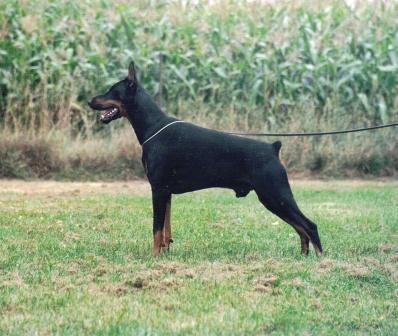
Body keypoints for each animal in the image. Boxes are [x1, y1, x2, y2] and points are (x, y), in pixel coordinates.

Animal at [88, 63, 322, 256]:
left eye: (112, 90)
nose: (90, 101)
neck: (152, 127)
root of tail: (273, 148)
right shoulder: (166, 192)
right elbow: (165, 229)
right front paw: (164, 252)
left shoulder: (158, 188)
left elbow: (156, 228)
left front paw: (153, 257)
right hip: (274, 196)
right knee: (300, 228)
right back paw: (303, 255)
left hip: (274, 193)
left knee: (309, 225)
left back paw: (319, 259)